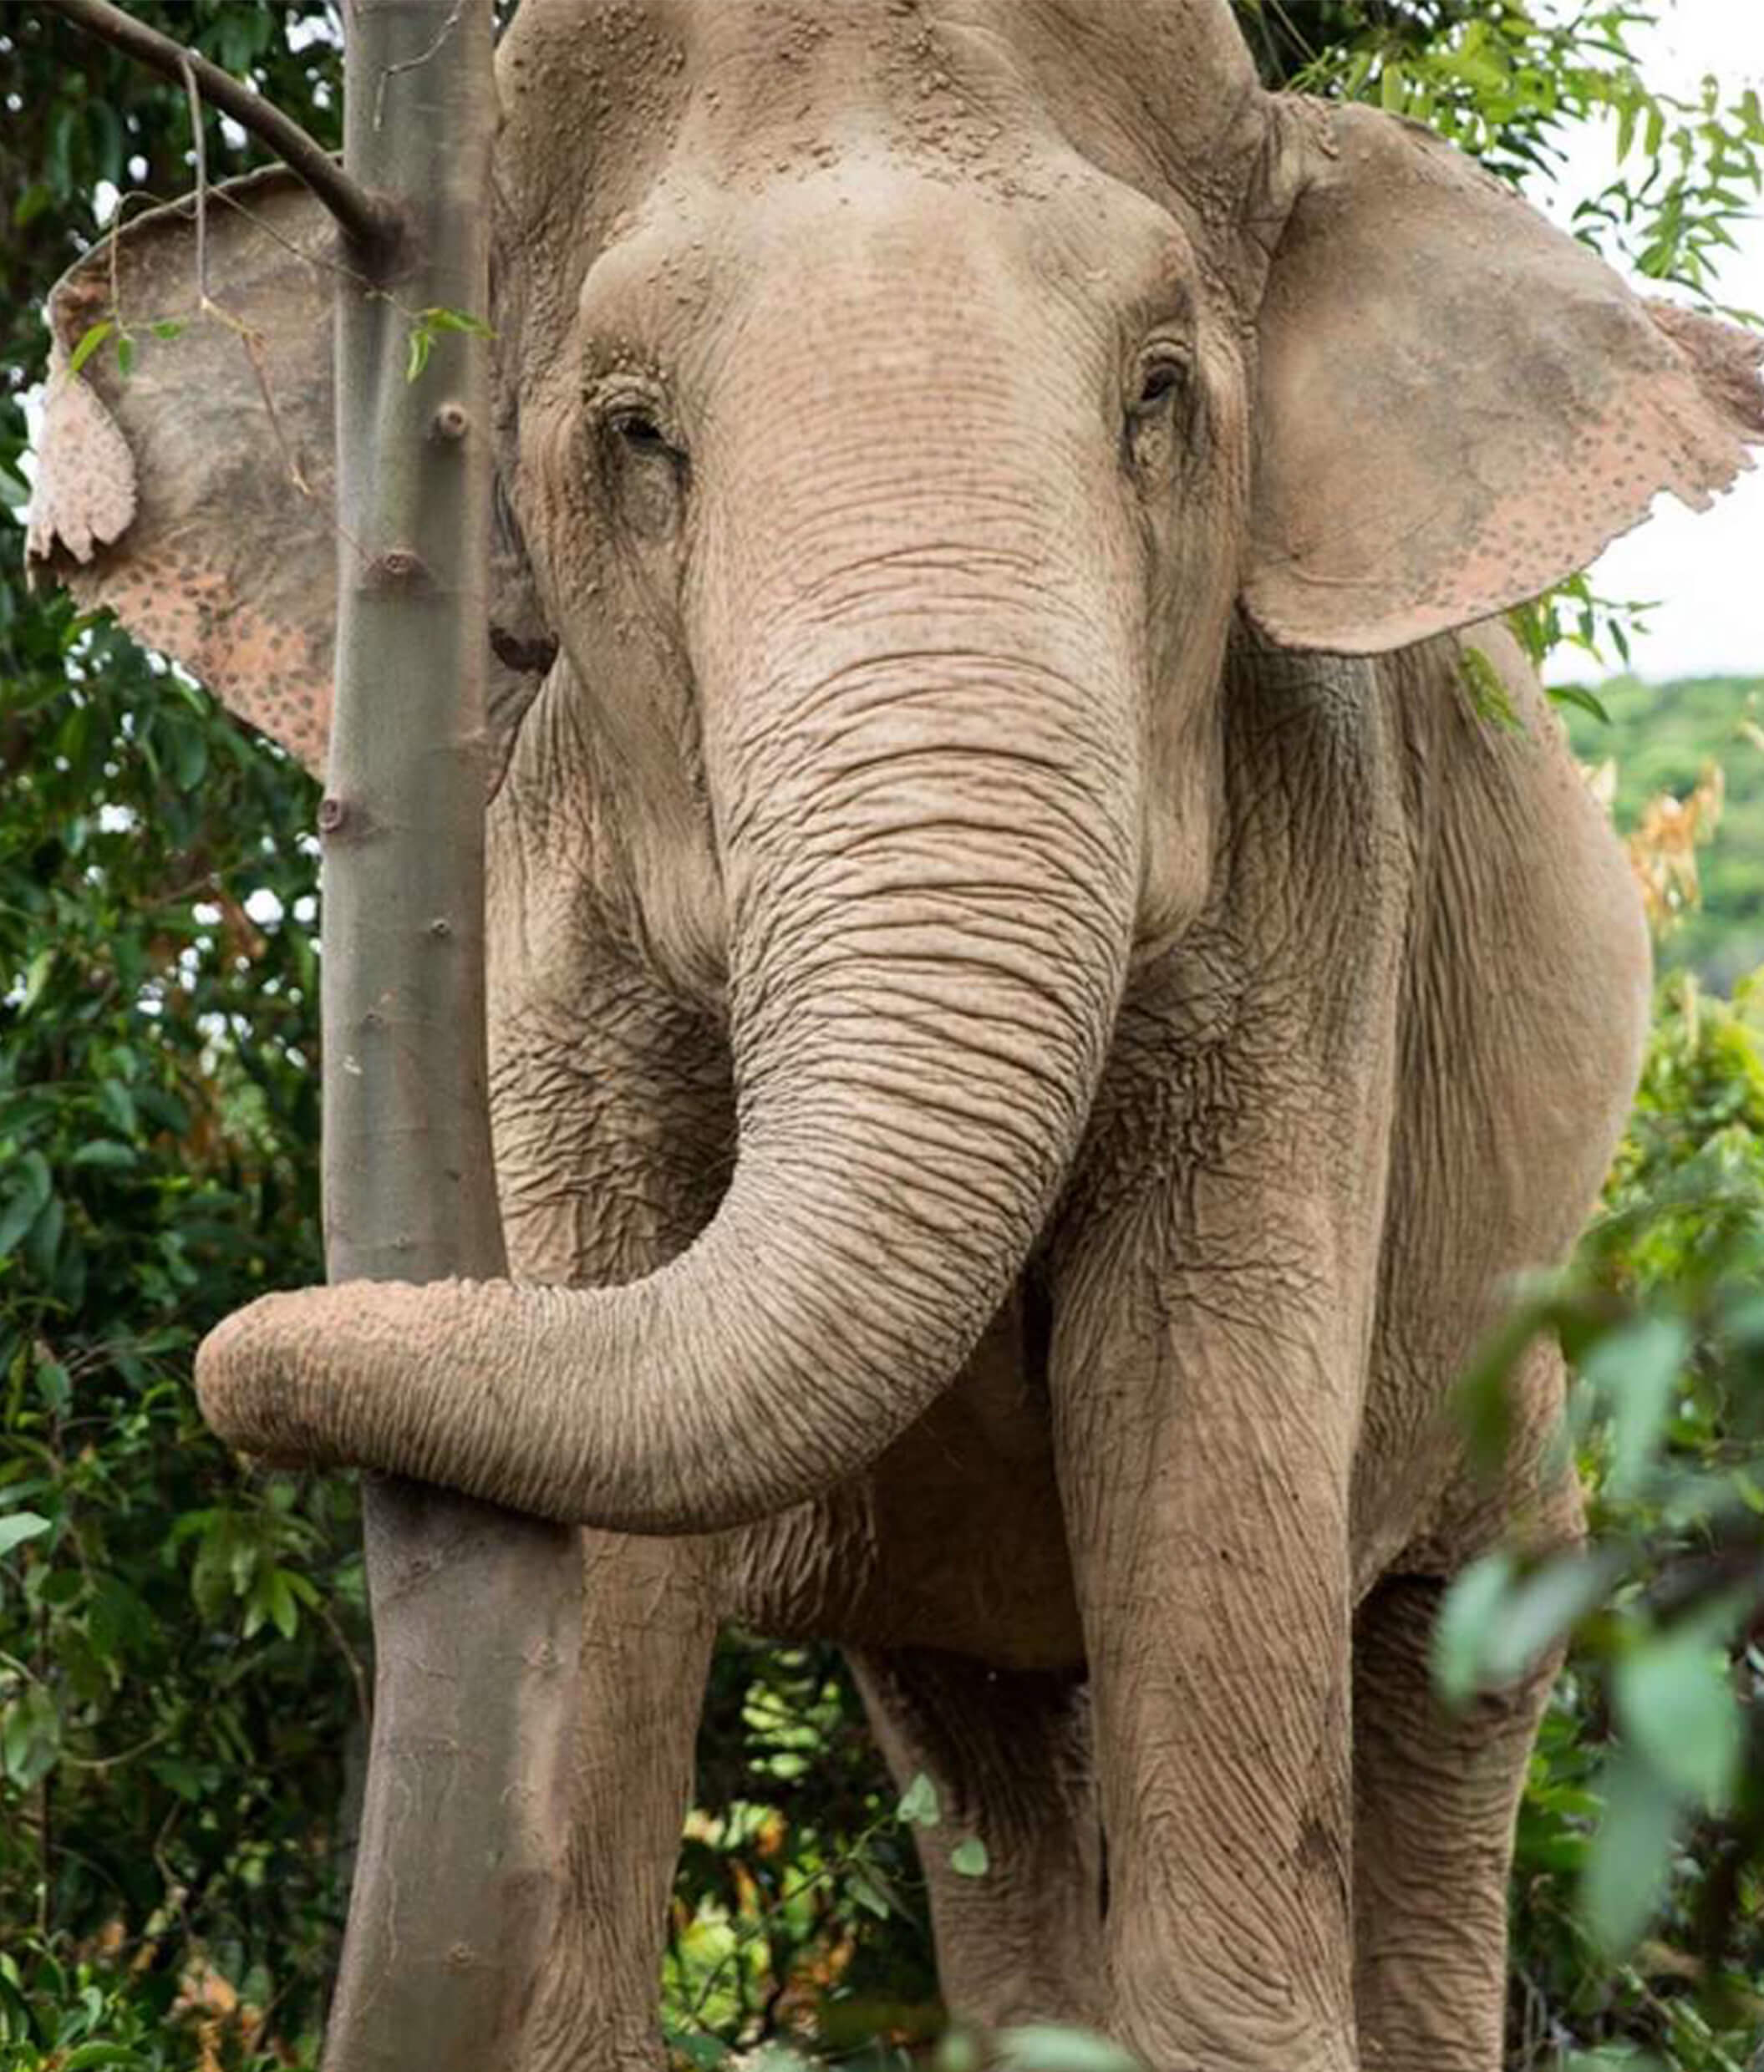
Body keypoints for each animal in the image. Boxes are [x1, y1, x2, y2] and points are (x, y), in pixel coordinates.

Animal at [29, 0, 1764, 2065]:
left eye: (1159, 393)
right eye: (635, 435)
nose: (233, 1361)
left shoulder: (1324, 866)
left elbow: (1197, 1390)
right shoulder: (539, 884)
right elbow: (603, 1406)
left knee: (1448, 1657)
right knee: (982, 1749)